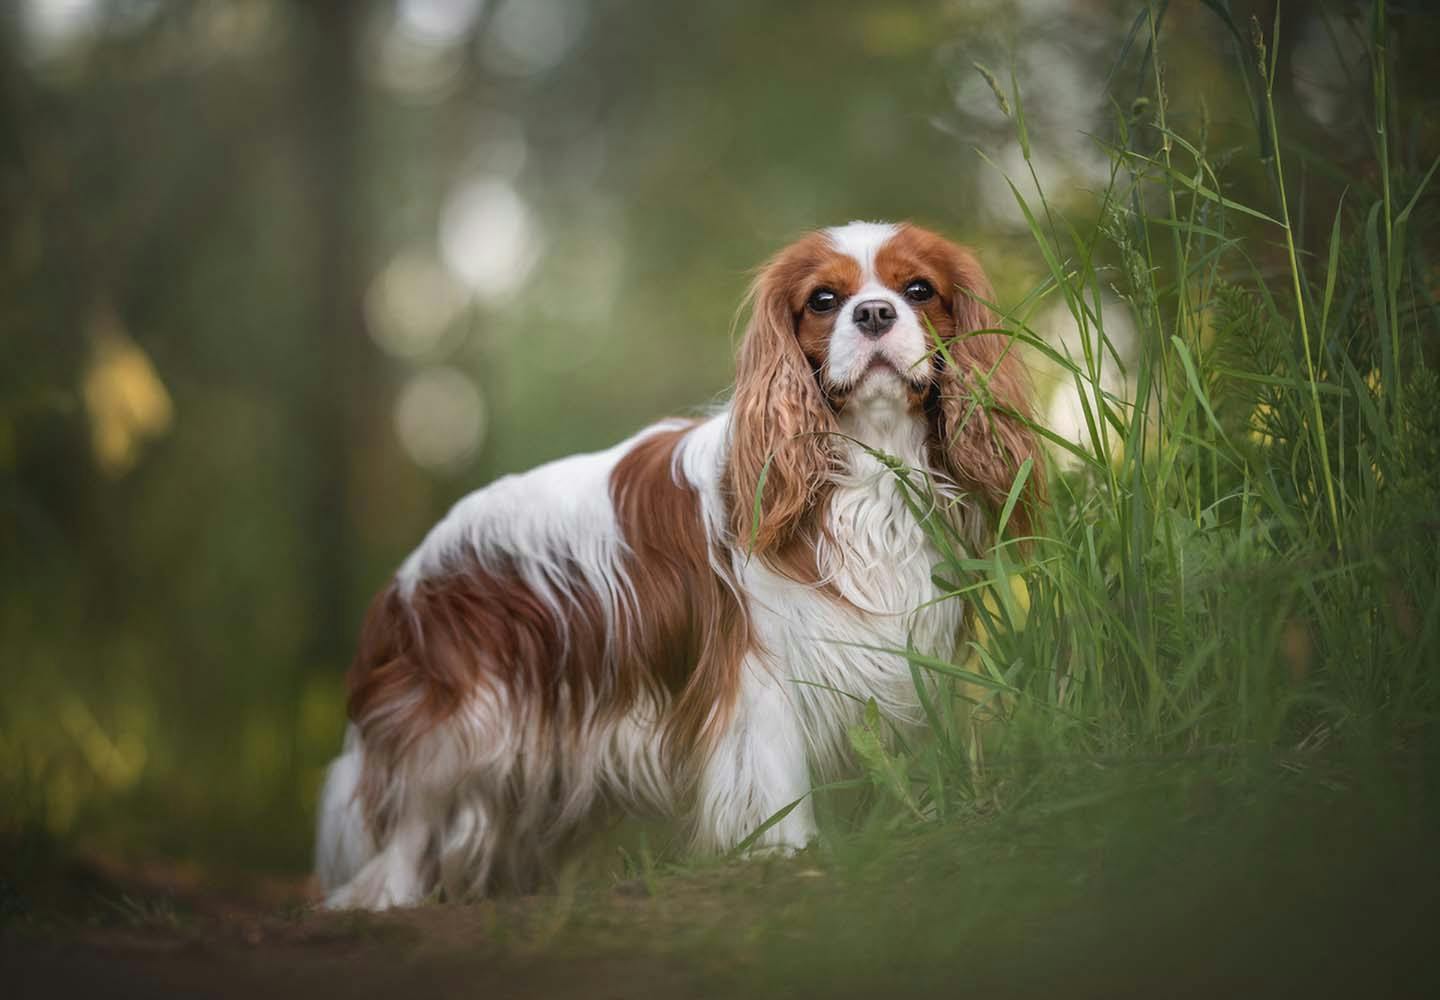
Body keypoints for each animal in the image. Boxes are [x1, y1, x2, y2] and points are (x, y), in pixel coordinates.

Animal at [315, 223, 1042, 910]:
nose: (874, 314)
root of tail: (406, 582)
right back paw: (389, 897)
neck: (868, 467)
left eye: (919, 290)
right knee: (408, 831)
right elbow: (773, 772)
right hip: (463, 728)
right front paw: (788, 852)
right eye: (823, 300)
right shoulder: (759, 671)